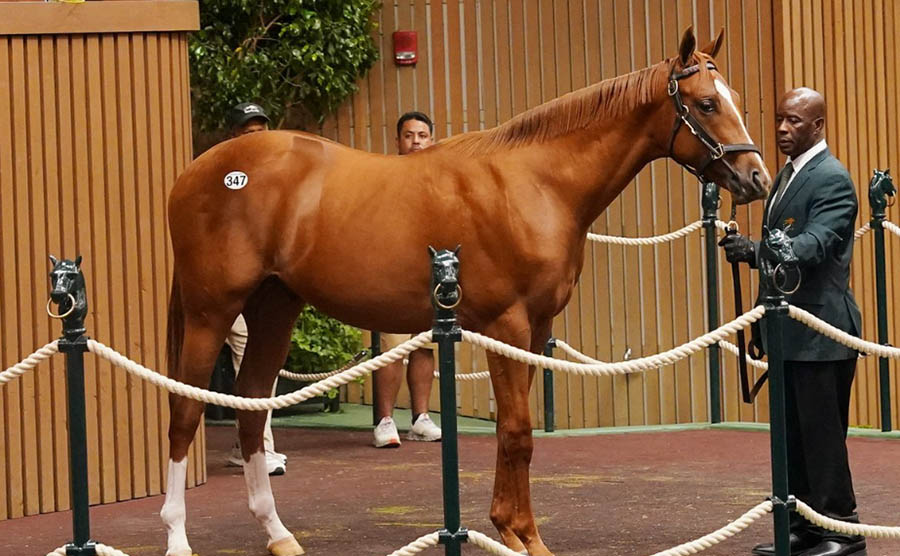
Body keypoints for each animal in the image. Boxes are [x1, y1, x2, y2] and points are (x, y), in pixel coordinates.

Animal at [162, 27, 770, 556]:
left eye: (737, 97)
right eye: (706, 104)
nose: (757, 178)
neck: (537, 182)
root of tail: (200, 170)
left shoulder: (535, 331)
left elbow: (510, 432)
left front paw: (515, 531)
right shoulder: (507, 324)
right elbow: (519, 433)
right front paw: (520, 537)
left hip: (274, 308)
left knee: (248, 408)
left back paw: (278, 534)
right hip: (211, 311)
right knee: (187, 408)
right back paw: (177, 537)